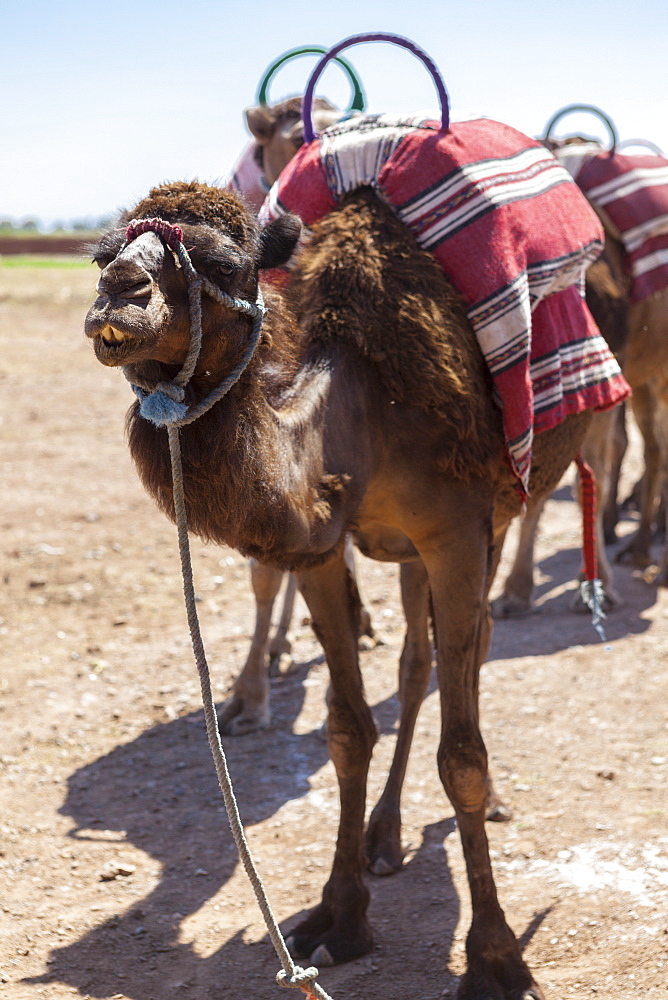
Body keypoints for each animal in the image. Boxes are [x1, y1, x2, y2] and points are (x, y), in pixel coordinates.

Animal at [85, 160, 632, 996]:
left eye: (224, 265)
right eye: (105, 252)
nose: (118, 293)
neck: (363, 404)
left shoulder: (457, 532)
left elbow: (462, 757)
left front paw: (497, 957)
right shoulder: (320, 549)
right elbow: (346, 730)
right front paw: (339, 917)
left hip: (504, 504)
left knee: (467, 654)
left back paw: (478, 807)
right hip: (412, 550)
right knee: (418, 663)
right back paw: (385, 834)